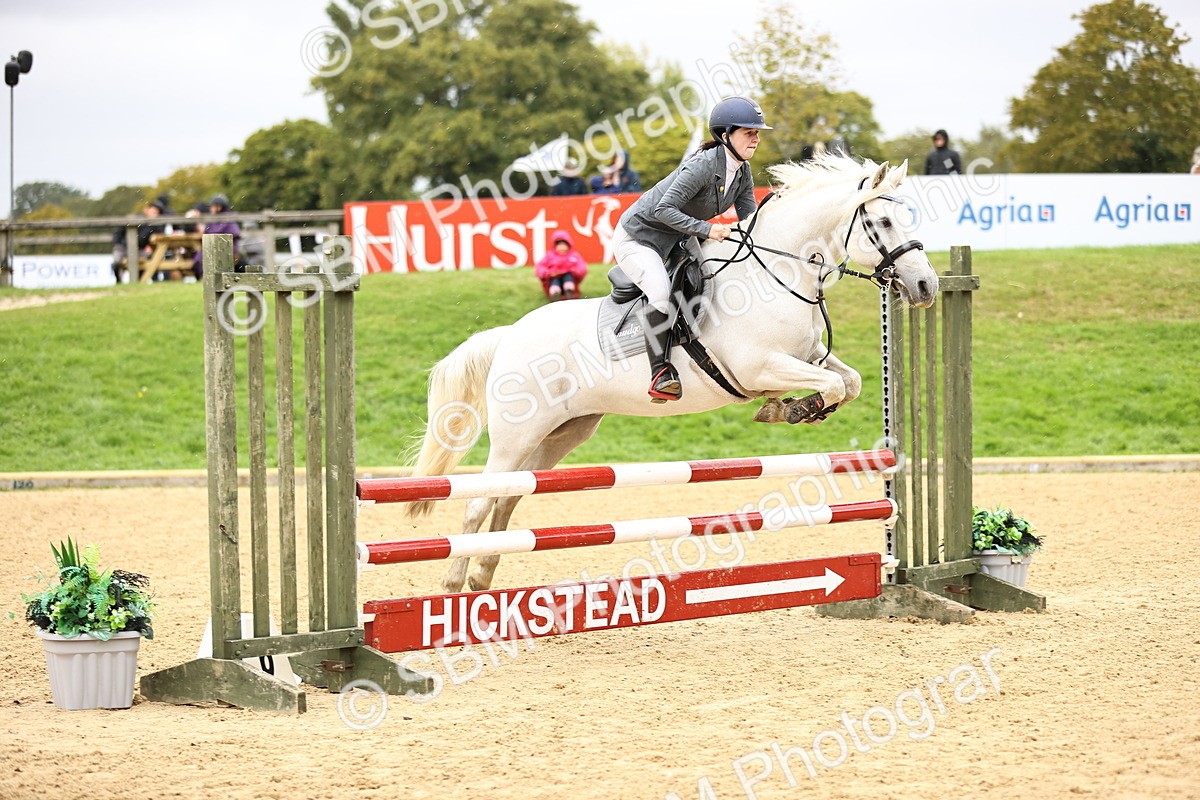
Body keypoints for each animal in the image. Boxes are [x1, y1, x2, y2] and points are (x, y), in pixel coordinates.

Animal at [407, 153, 939, 594]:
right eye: (884, 221)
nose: (926, 286)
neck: (777, 275)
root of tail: (508, 336)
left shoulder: (806, 357)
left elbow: (849, 383)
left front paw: (788, 407)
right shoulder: (759, 364)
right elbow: (829, 385)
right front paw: (791, 409)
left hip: (561, 433)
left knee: (507, 499)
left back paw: (482, 576)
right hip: (516, 434)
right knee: (479, 502)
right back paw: (454, 583)